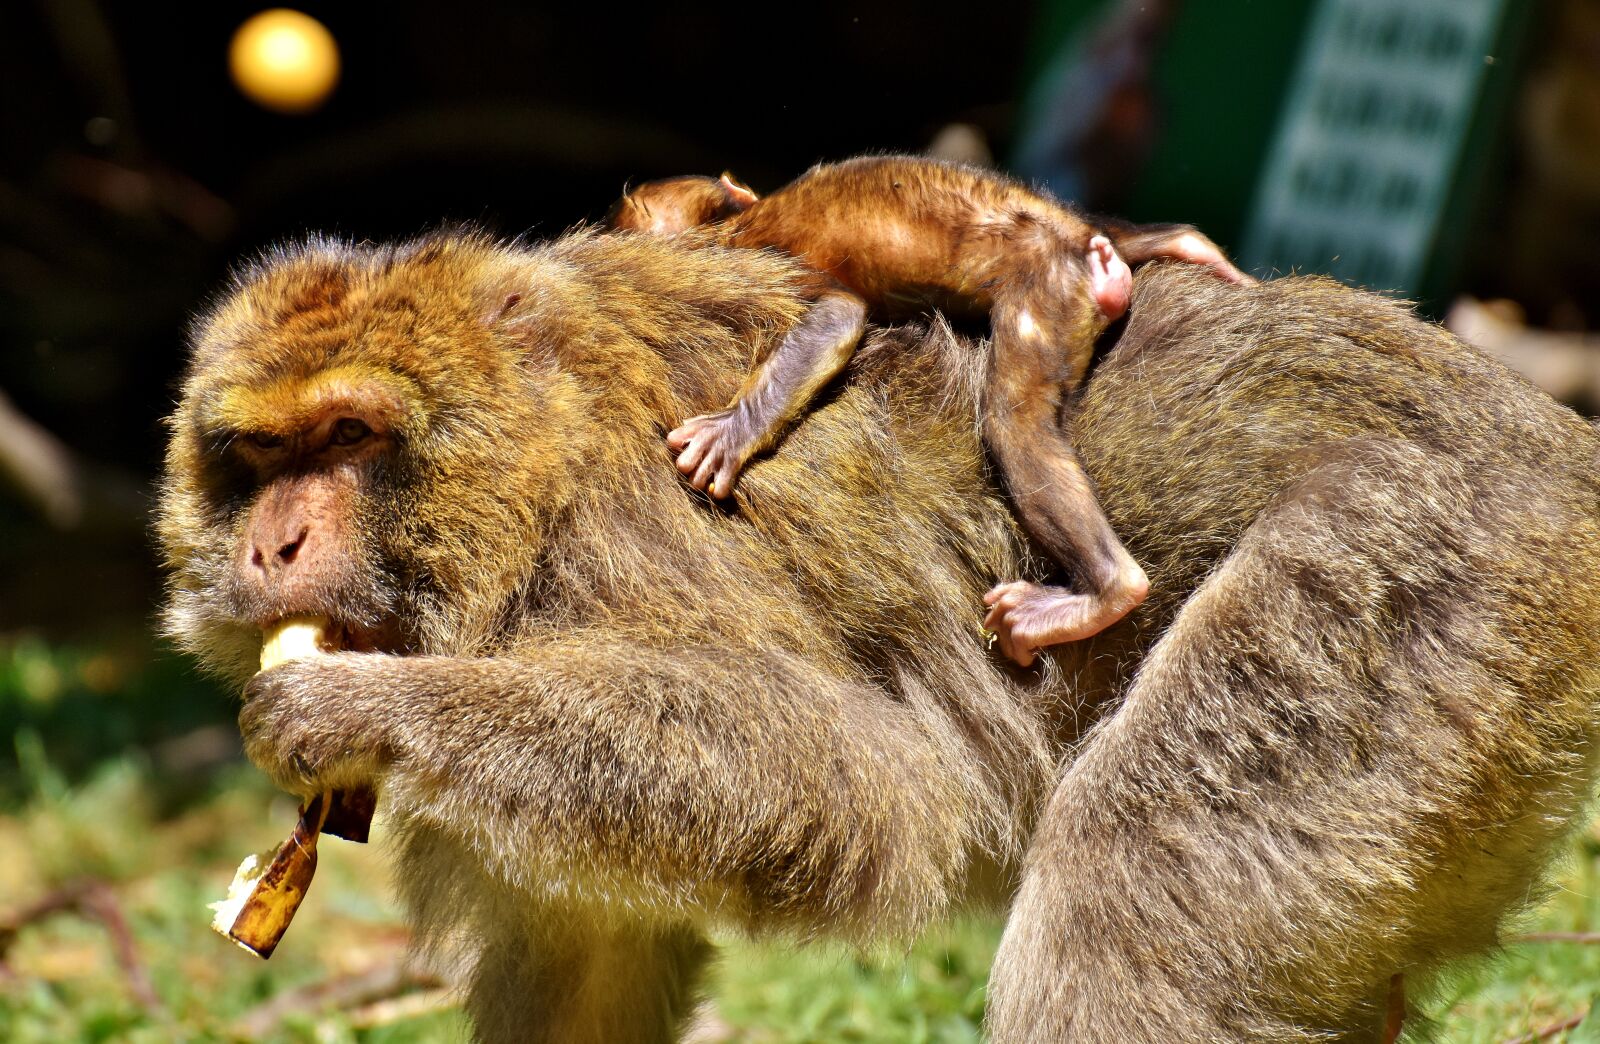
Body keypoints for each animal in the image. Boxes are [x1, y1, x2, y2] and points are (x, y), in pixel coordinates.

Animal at [158, 228, 1600, 1043]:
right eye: (259, 458)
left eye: (350, 438)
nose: (270, 546)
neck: (537, 477)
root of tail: (1551, 443)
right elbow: (585, 962)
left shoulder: (638, 538)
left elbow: (860, 783)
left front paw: (364, 711)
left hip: (1417, 566)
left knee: (1124, 877)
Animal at [608, 155, 1253, 662]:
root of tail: (1084, 251)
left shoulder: (758, 255)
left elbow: (837, 316)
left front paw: (731, 434)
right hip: (1087, 246)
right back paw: (1184, 242)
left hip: (1047, 295)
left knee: (1013, 421)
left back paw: (1107, 592)